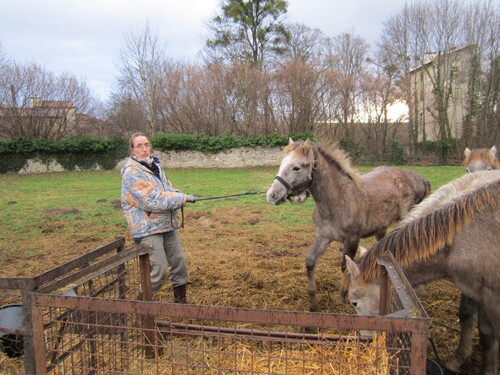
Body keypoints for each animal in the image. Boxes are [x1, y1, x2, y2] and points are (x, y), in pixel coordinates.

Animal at [266, 140, 430, 312]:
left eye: (296, 167)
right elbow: (310, 261)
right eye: (282, 163)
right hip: (381, 228)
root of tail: (418, 178)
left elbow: (345, 266)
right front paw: (313, 302)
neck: (338, 198)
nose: (272, 195)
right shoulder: (324, 235)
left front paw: (341, 298)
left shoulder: (352, 239)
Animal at [346, 173, 500, 375]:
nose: (364, 340)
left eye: (354, 303)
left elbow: (490, 334)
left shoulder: (492, 296)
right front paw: (459, 359)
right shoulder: (473, 289)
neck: (461, 236)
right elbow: (472, 321)